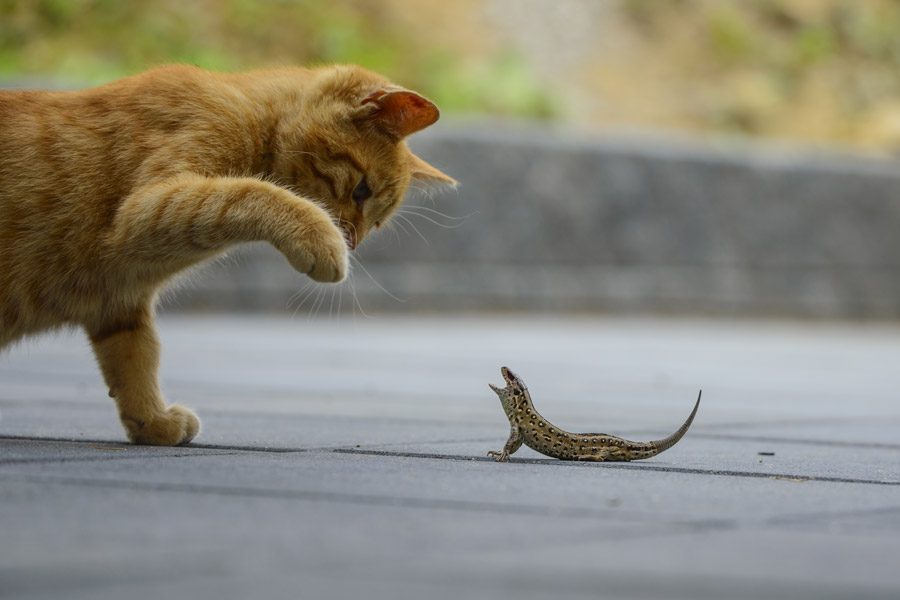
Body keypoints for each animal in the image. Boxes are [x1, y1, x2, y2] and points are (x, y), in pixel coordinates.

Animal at [0, 64, 454, 446]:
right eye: (361, 189)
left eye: (377, 223)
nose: (353, 242)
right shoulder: (146, 208)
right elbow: (251, 193)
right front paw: (319, 238)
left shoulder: (119, 301)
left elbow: (137, 359)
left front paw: (153, 422)